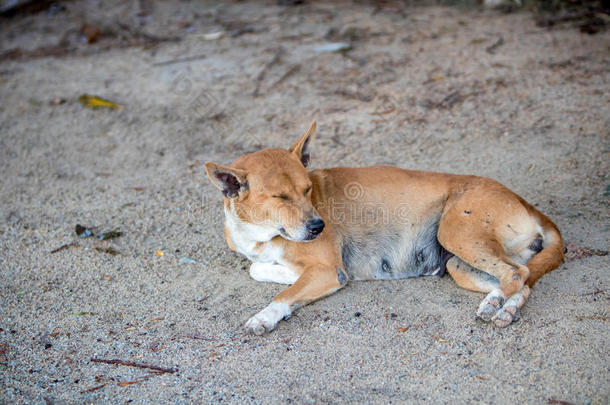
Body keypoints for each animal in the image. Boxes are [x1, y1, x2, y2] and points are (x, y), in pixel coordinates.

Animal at [207, 120, 564, 334]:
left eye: (307, 190)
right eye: (280, 197)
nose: (318, 226)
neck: (261, 233)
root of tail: (524, 201)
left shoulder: (326, 270)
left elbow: (284, 294)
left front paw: (264, 316)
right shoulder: (318, 268)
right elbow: (259, 269)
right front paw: (283, 272)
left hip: (456, 233)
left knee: (516, 275)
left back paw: (497, 303)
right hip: (460, 264)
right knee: (524, 279)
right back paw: (505, 308)